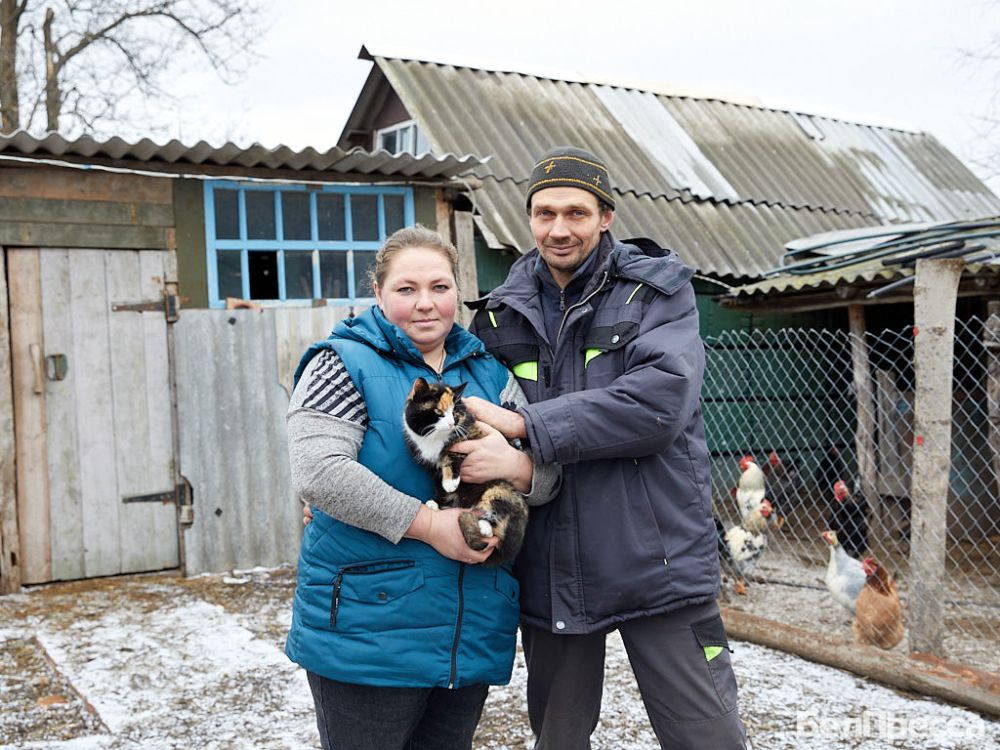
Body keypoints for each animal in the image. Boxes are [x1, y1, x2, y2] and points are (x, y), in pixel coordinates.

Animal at [404, 378, 532, 568]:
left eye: (455, 412)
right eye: (438, 411)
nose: (452, 423)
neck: (434, 438)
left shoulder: (471, 435)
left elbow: (451, 455)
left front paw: (450, 482)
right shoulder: (434, 470)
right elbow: (438, 485)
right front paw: (437, 502)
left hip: (500, 491)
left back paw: (484, 526)